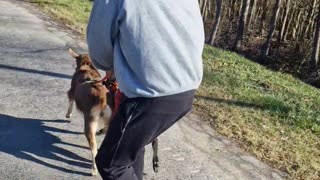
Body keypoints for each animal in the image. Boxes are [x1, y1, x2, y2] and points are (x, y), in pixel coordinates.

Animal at [65, 48, 160, 176]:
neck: (87, 68)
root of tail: (102, 98)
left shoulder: (71, 92)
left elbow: (70, 100)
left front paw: (68, 115)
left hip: (90, 123)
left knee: (94, 148)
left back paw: (94, 169)